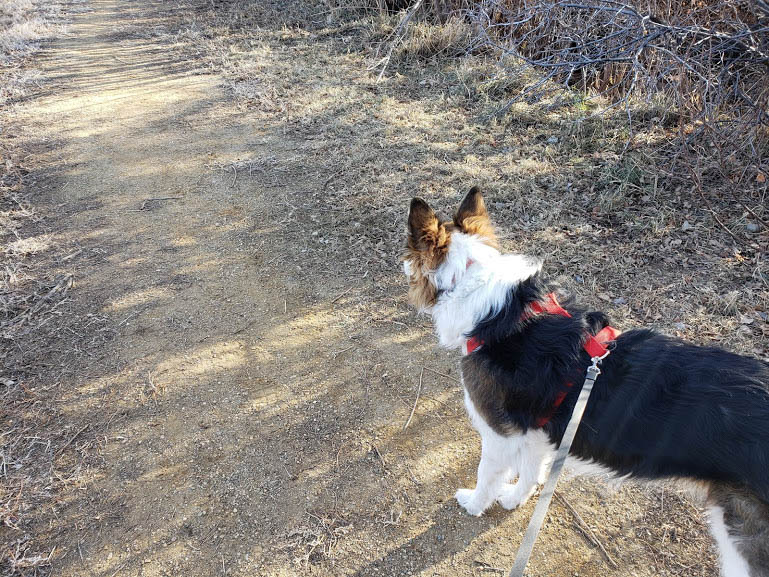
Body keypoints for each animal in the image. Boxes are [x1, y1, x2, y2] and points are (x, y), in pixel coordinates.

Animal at [402, 187, 769, 577]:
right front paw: (514, 500)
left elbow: (487, 475)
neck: (497, 311)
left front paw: (474, 503)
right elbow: (530, 474)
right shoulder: (538, 431)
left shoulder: (499, 434)